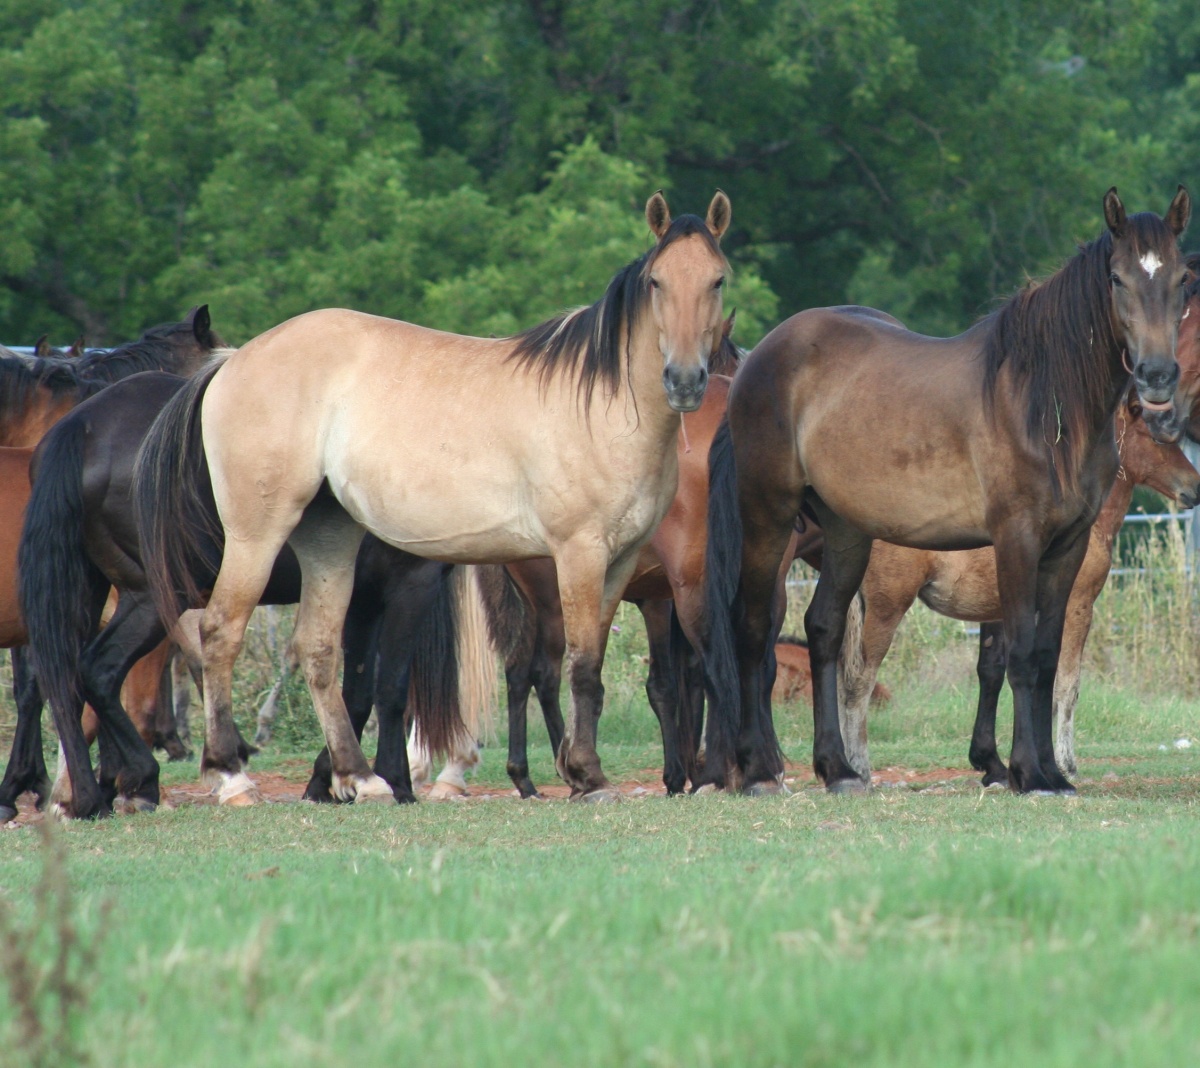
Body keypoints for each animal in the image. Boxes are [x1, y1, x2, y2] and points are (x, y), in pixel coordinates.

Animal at [135, 189, 724, 796]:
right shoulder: (579, 554)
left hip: (328, 538)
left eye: (717, 280)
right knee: (220, 632)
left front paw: (583, 771)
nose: (684, 381)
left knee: (317, 649)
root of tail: (232, 361)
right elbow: (582, 665)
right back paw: (232, 774)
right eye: (656, 282)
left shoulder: (620, 560)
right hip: (257, 535)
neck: (604, 403)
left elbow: (594, 670)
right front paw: (586, 773)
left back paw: (360, 775)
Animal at [700, 189, 1190, 792]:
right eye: (1117, 278)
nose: (1157, 376)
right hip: (767, 516)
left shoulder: (1066, 548)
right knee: (752, 628)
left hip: (846, 533)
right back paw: (759, 769)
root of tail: (753, 366)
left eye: (1183, 278)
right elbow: (1022, 657)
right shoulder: (1016, 541)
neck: (1042, 404)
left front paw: (1050, 772)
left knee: (824, 630)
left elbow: (1046, 658)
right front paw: (1028, 771)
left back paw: (838, 769)